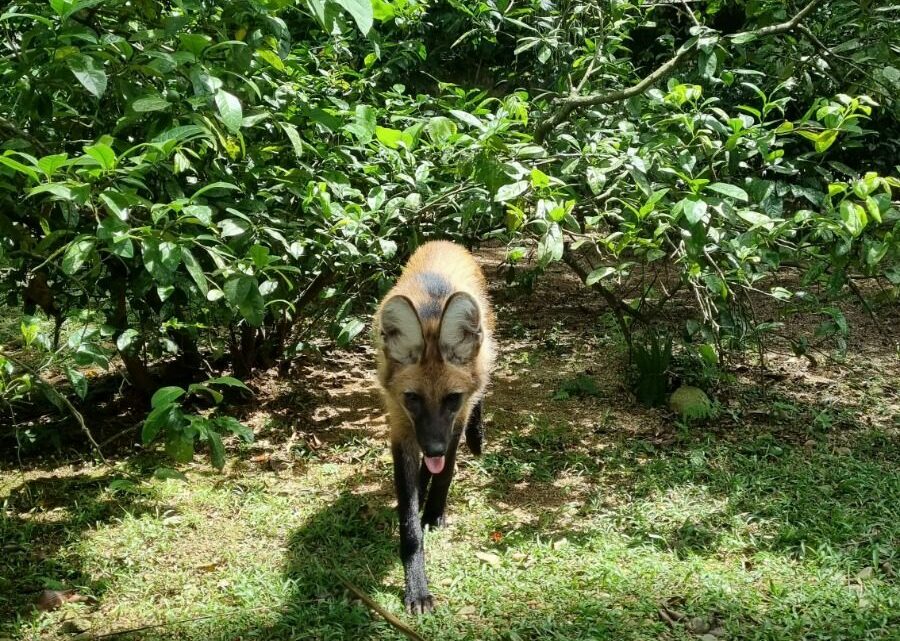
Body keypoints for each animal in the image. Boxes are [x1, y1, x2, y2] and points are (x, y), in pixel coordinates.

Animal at [374, 241, 496, 616]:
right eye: (413, 398)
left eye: (451, 398)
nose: (433, 449)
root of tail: (444, 243)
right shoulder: (401, 426)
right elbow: (409, 523)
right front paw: (416, 588)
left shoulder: (455, 420)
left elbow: (447, 470)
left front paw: (434, 513)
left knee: (482, 388)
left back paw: (476, 438)